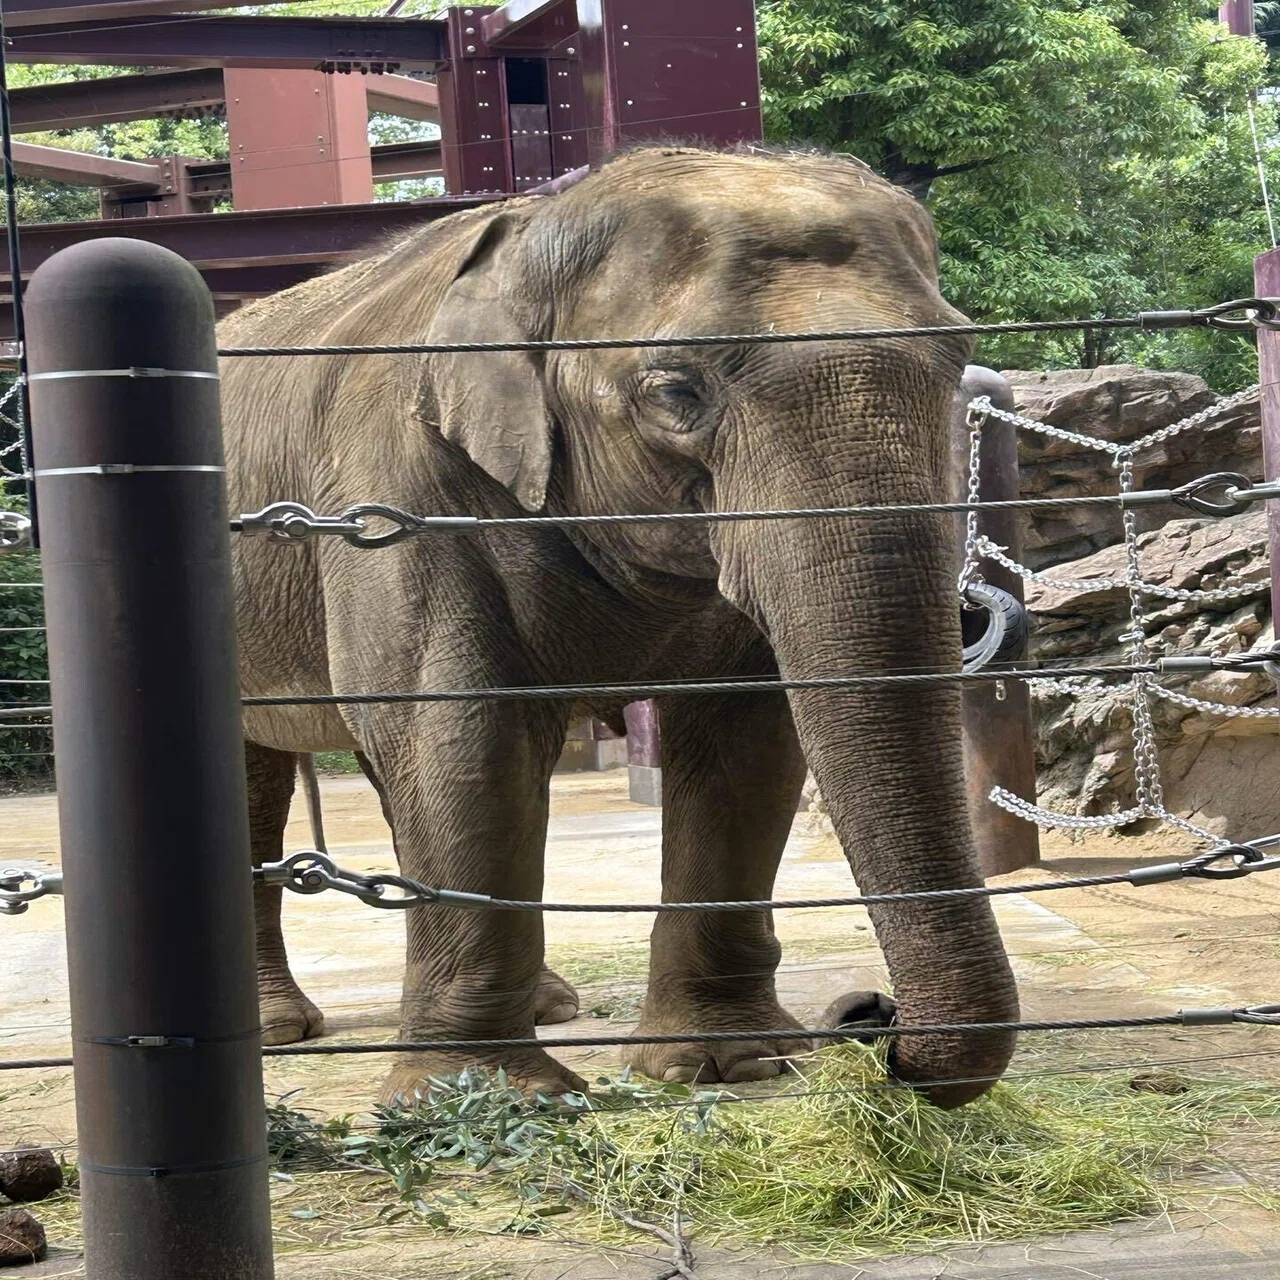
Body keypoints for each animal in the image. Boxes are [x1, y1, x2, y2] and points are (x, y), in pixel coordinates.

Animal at [221, 145, 1020, 1110]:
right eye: (676, 390)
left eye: (958, 358)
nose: (870, 1018)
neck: (532, 228)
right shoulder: (393, 496)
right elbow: (458, 734)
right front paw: (486, 1098)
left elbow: (744, 741)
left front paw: (730, 1063)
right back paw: (278, 1031)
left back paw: (550, 1004)